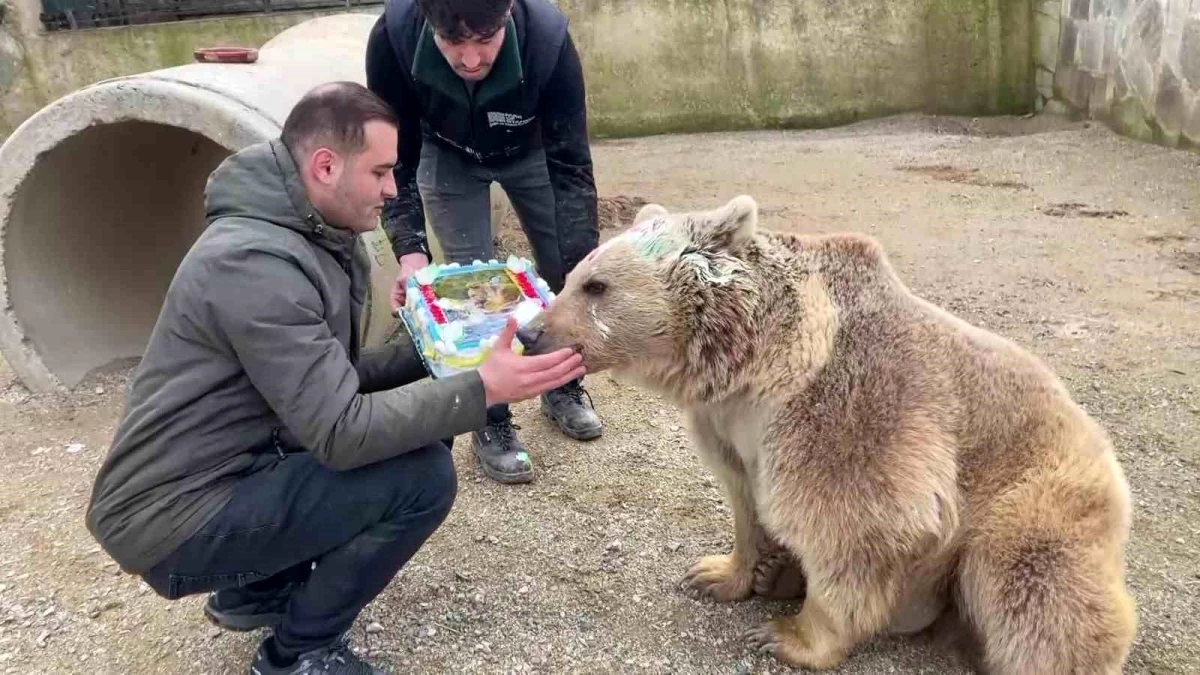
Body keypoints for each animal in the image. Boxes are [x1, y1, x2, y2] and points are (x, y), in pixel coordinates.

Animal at [516, 192, 1132, 667]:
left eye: (595, 285)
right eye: (573, 276)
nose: (530, 332)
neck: (758, 363)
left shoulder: (848, 404)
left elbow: (855, 520)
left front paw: (786, 636)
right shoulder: (727, 424)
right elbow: (746, 500)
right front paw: (717, 574)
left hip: (1031, 504)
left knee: (1036, 594)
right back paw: (780, 577)